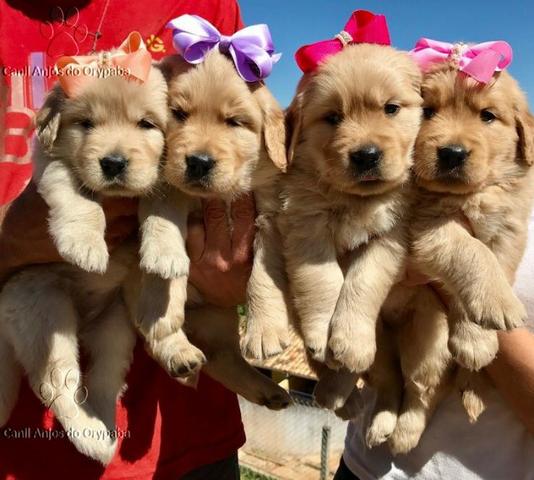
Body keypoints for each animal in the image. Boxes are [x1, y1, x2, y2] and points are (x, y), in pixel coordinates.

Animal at [0, 58, 169, 464]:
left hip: (115, 326)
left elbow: (160, 201)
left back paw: (104, 427)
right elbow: (76, 191)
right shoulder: (51, 164)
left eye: (147, 124)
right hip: (42, 311)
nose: (113, 163)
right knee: (56, 384)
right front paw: (85, 245)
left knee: (105, 379)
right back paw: (90, 435)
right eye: (86, 123)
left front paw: (163, 249)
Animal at [134, 51, 294, 408]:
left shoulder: (272, 213)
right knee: (156, 337)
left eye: (234, 121)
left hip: (219, 318)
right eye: (179, 114)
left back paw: (271, 392)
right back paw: (178, 350)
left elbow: (264, 273)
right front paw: (164, 258)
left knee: (224, 358)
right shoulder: (168, 185)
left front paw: (263, 331)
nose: (198, 162)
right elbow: (162, 217)